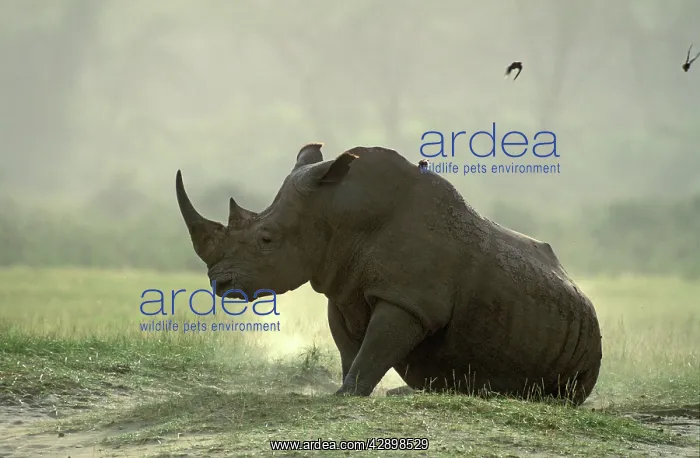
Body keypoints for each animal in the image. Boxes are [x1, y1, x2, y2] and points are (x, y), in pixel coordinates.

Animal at [175, 143, 603, 405]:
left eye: (266, 239)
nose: (220, 284)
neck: (338, 214)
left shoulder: (410, 301)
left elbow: (376, 346)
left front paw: (347, 396)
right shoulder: (341, 286)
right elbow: (351, 348)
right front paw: (344, 390)